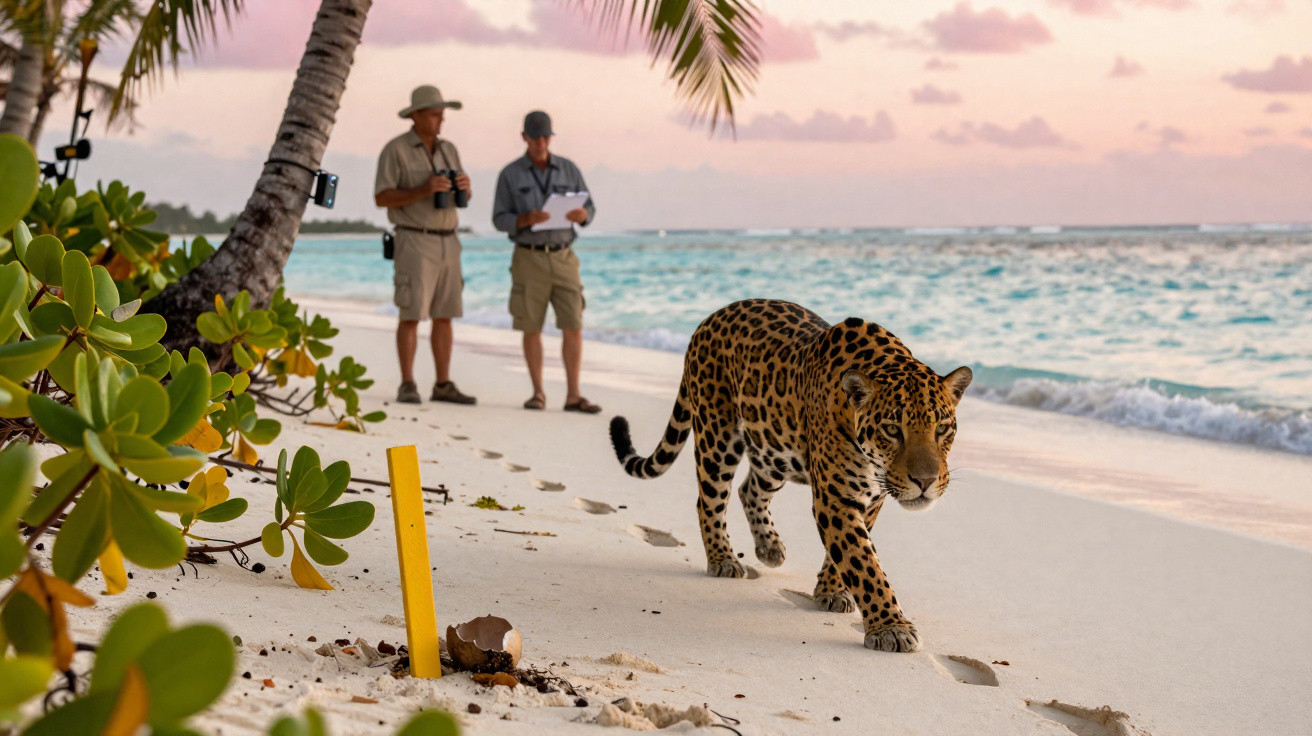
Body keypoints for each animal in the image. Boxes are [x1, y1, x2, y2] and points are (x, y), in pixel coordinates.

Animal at [608, 299, 972, 652]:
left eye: (942, 428)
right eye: (893, 430)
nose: (925, 482)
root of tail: (709, 318)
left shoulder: (869, 498)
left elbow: (848, 551)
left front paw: (831, 591)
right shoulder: (835, 498)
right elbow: (863, 563)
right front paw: (891, 627)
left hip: (774, 451)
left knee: (749, 489)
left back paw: (769, 547)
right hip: (717, 436)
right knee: (709, 500)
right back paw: (723, 559)